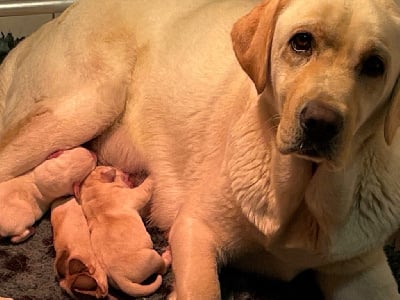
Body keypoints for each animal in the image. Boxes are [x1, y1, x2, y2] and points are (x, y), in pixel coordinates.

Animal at [79, 166, 171, 298]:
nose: (125, 170)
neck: (94, 192)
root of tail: (119, 277)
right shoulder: (134, 195)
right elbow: (145, 186)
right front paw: (151, 174)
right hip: (151, 256)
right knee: (162, 268)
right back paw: (167, 256)